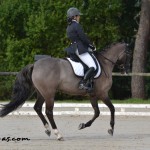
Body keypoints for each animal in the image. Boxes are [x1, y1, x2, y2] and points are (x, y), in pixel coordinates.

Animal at [0, 42, 131, 141]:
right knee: (48, 112)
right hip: (49, 94)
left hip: (41, 92)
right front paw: (111, 129)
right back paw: (58, 134)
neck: (104, 64)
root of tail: (35, 65)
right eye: (129, 54)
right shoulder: (103, 94)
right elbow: (112, 108)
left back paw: (48, 129)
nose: (125, 71)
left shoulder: (93, 95)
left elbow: (97, 112)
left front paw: (83, 125)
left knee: (37, 108)